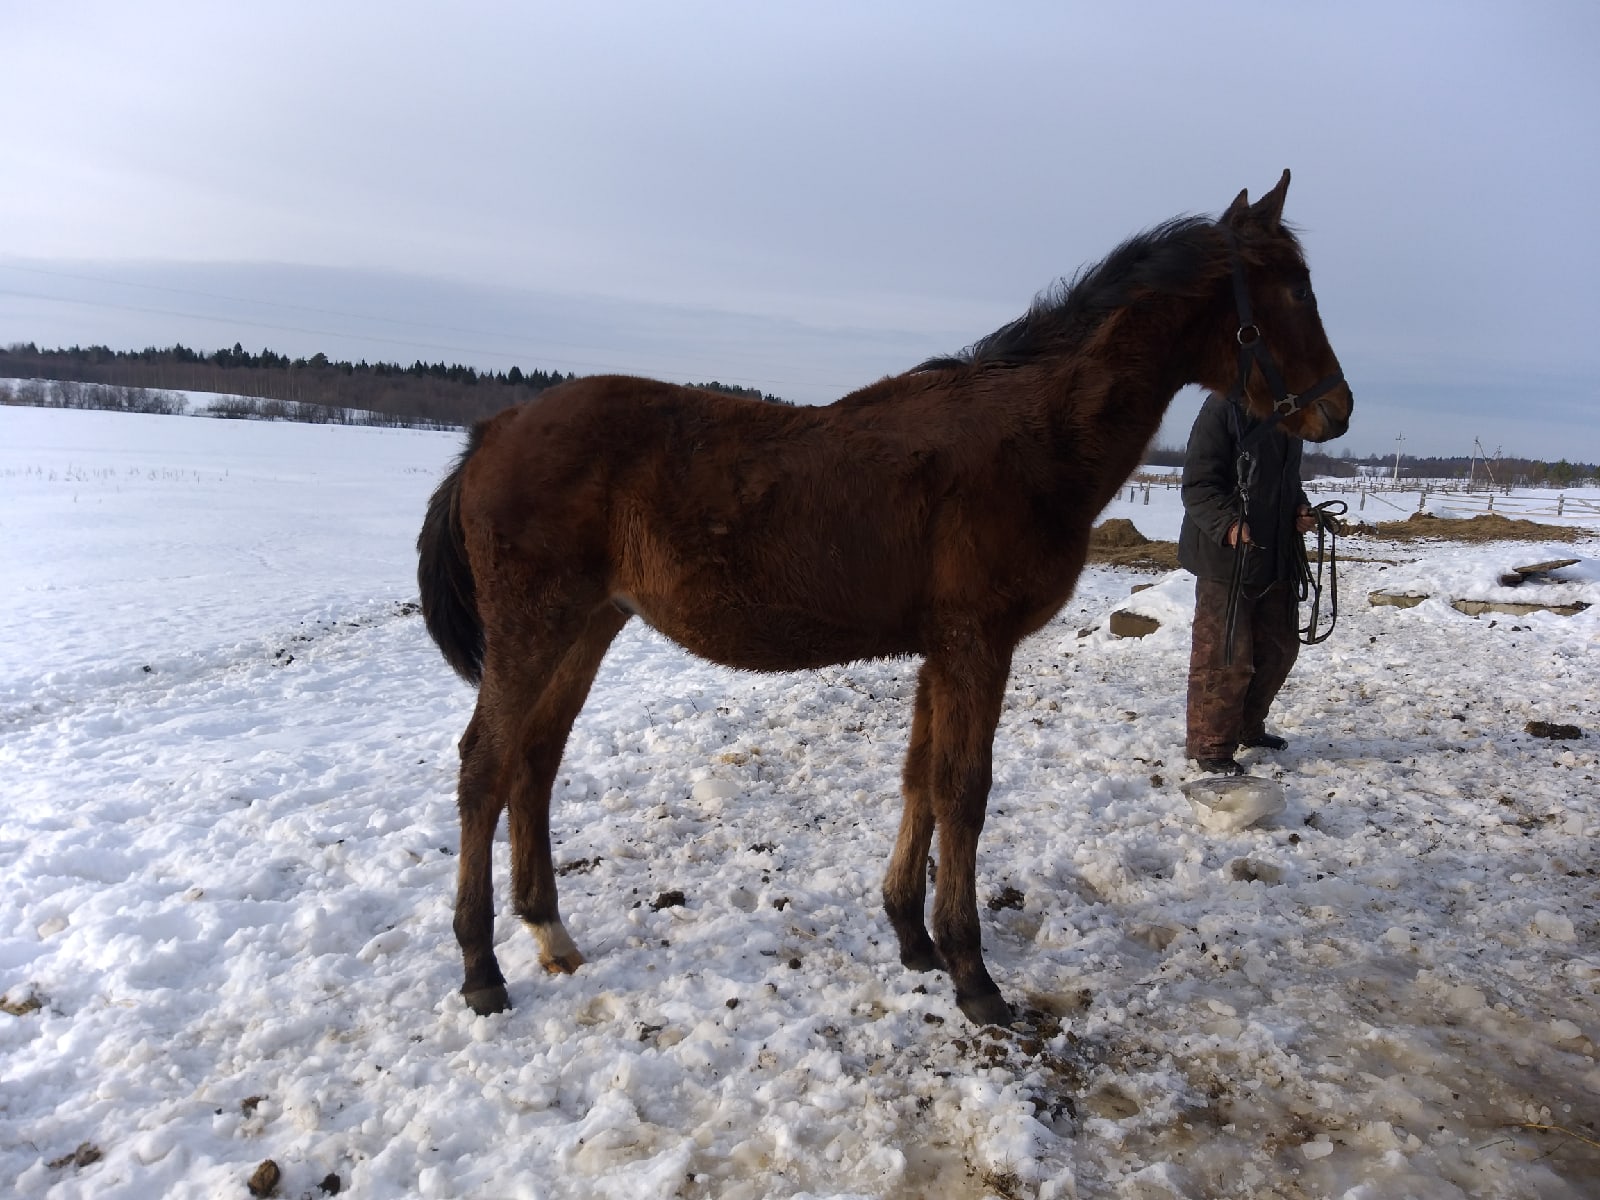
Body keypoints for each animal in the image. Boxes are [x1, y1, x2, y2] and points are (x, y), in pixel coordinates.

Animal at [417, 170, 1352, 1026]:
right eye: (1293, 287)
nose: (1336, 410)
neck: (1028, 441)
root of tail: (491, 431)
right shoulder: (978, 644)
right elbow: (963, 792)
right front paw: (975, 976)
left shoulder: (943, 650)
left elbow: (920, 783)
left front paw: (912, 937)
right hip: (537, 627)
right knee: (484, 766)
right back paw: (481, 969)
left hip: (590, 623)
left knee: (535, 761)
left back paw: (549, 933)